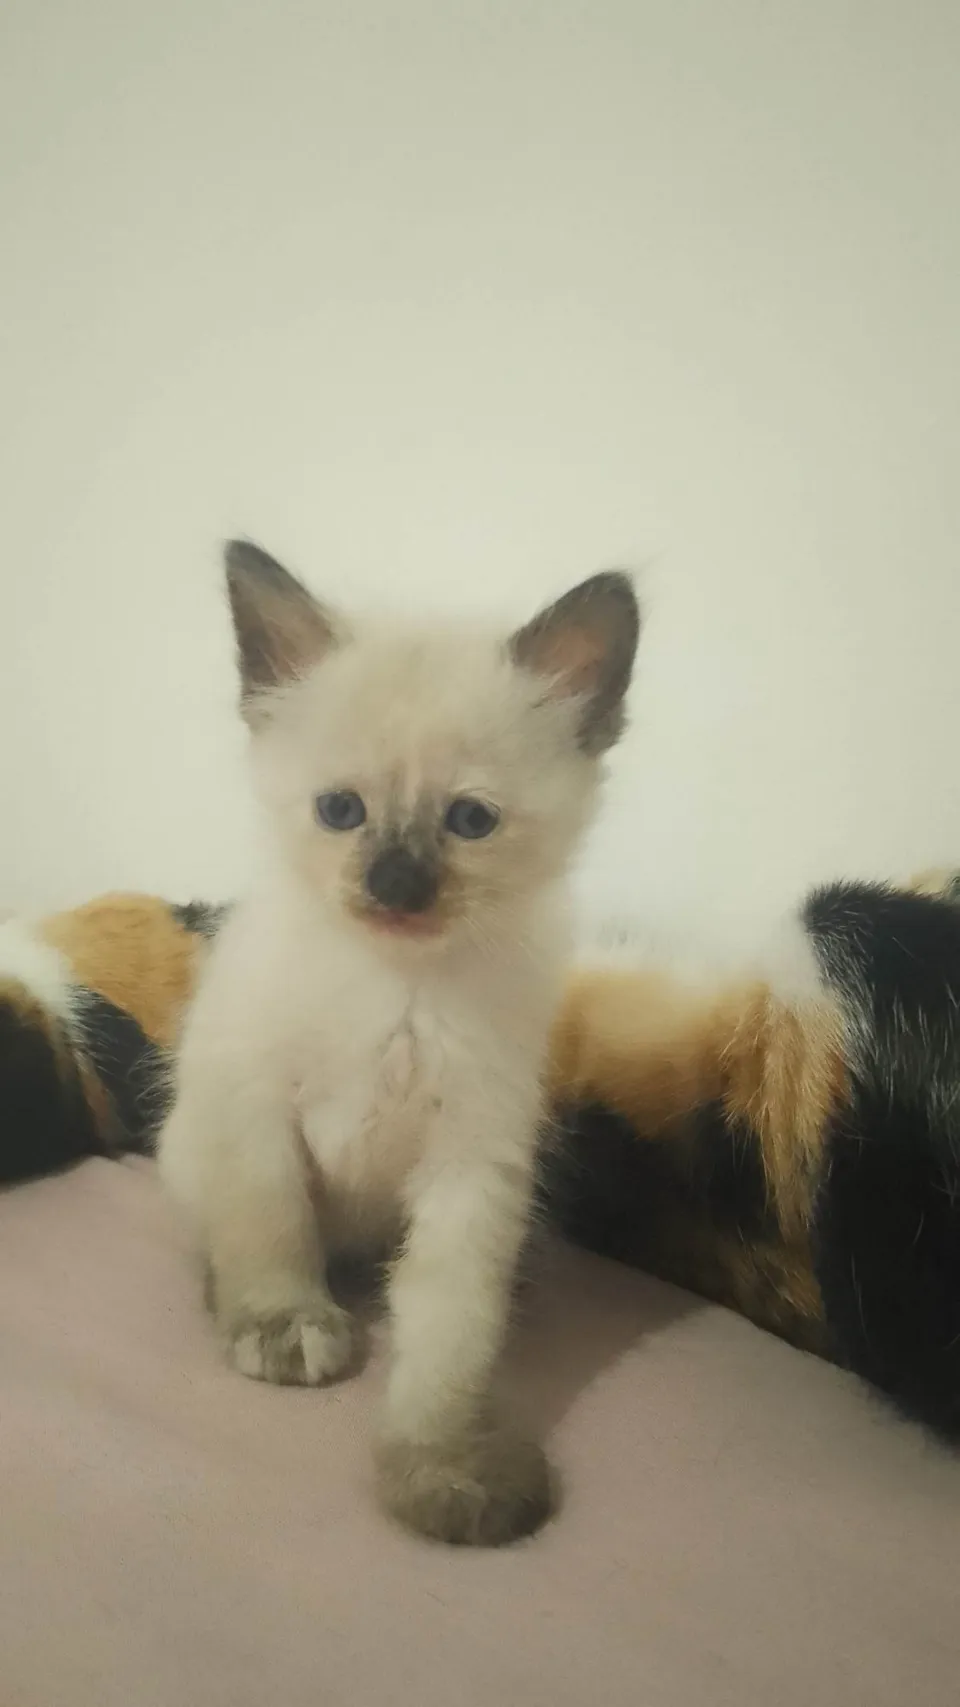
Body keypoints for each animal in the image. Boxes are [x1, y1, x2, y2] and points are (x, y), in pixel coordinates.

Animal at [157, 540, 639, 1545]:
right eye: (341, 810)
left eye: (470, 821)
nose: (395, 883)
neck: (396, 985)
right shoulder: (258, 1108)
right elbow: (268, 1228)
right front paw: (283, 1326)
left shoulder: (472, 1164)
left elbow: (451, 1336)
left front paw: (441, 1466)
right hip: (190, 1142)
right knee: (226, 1234)